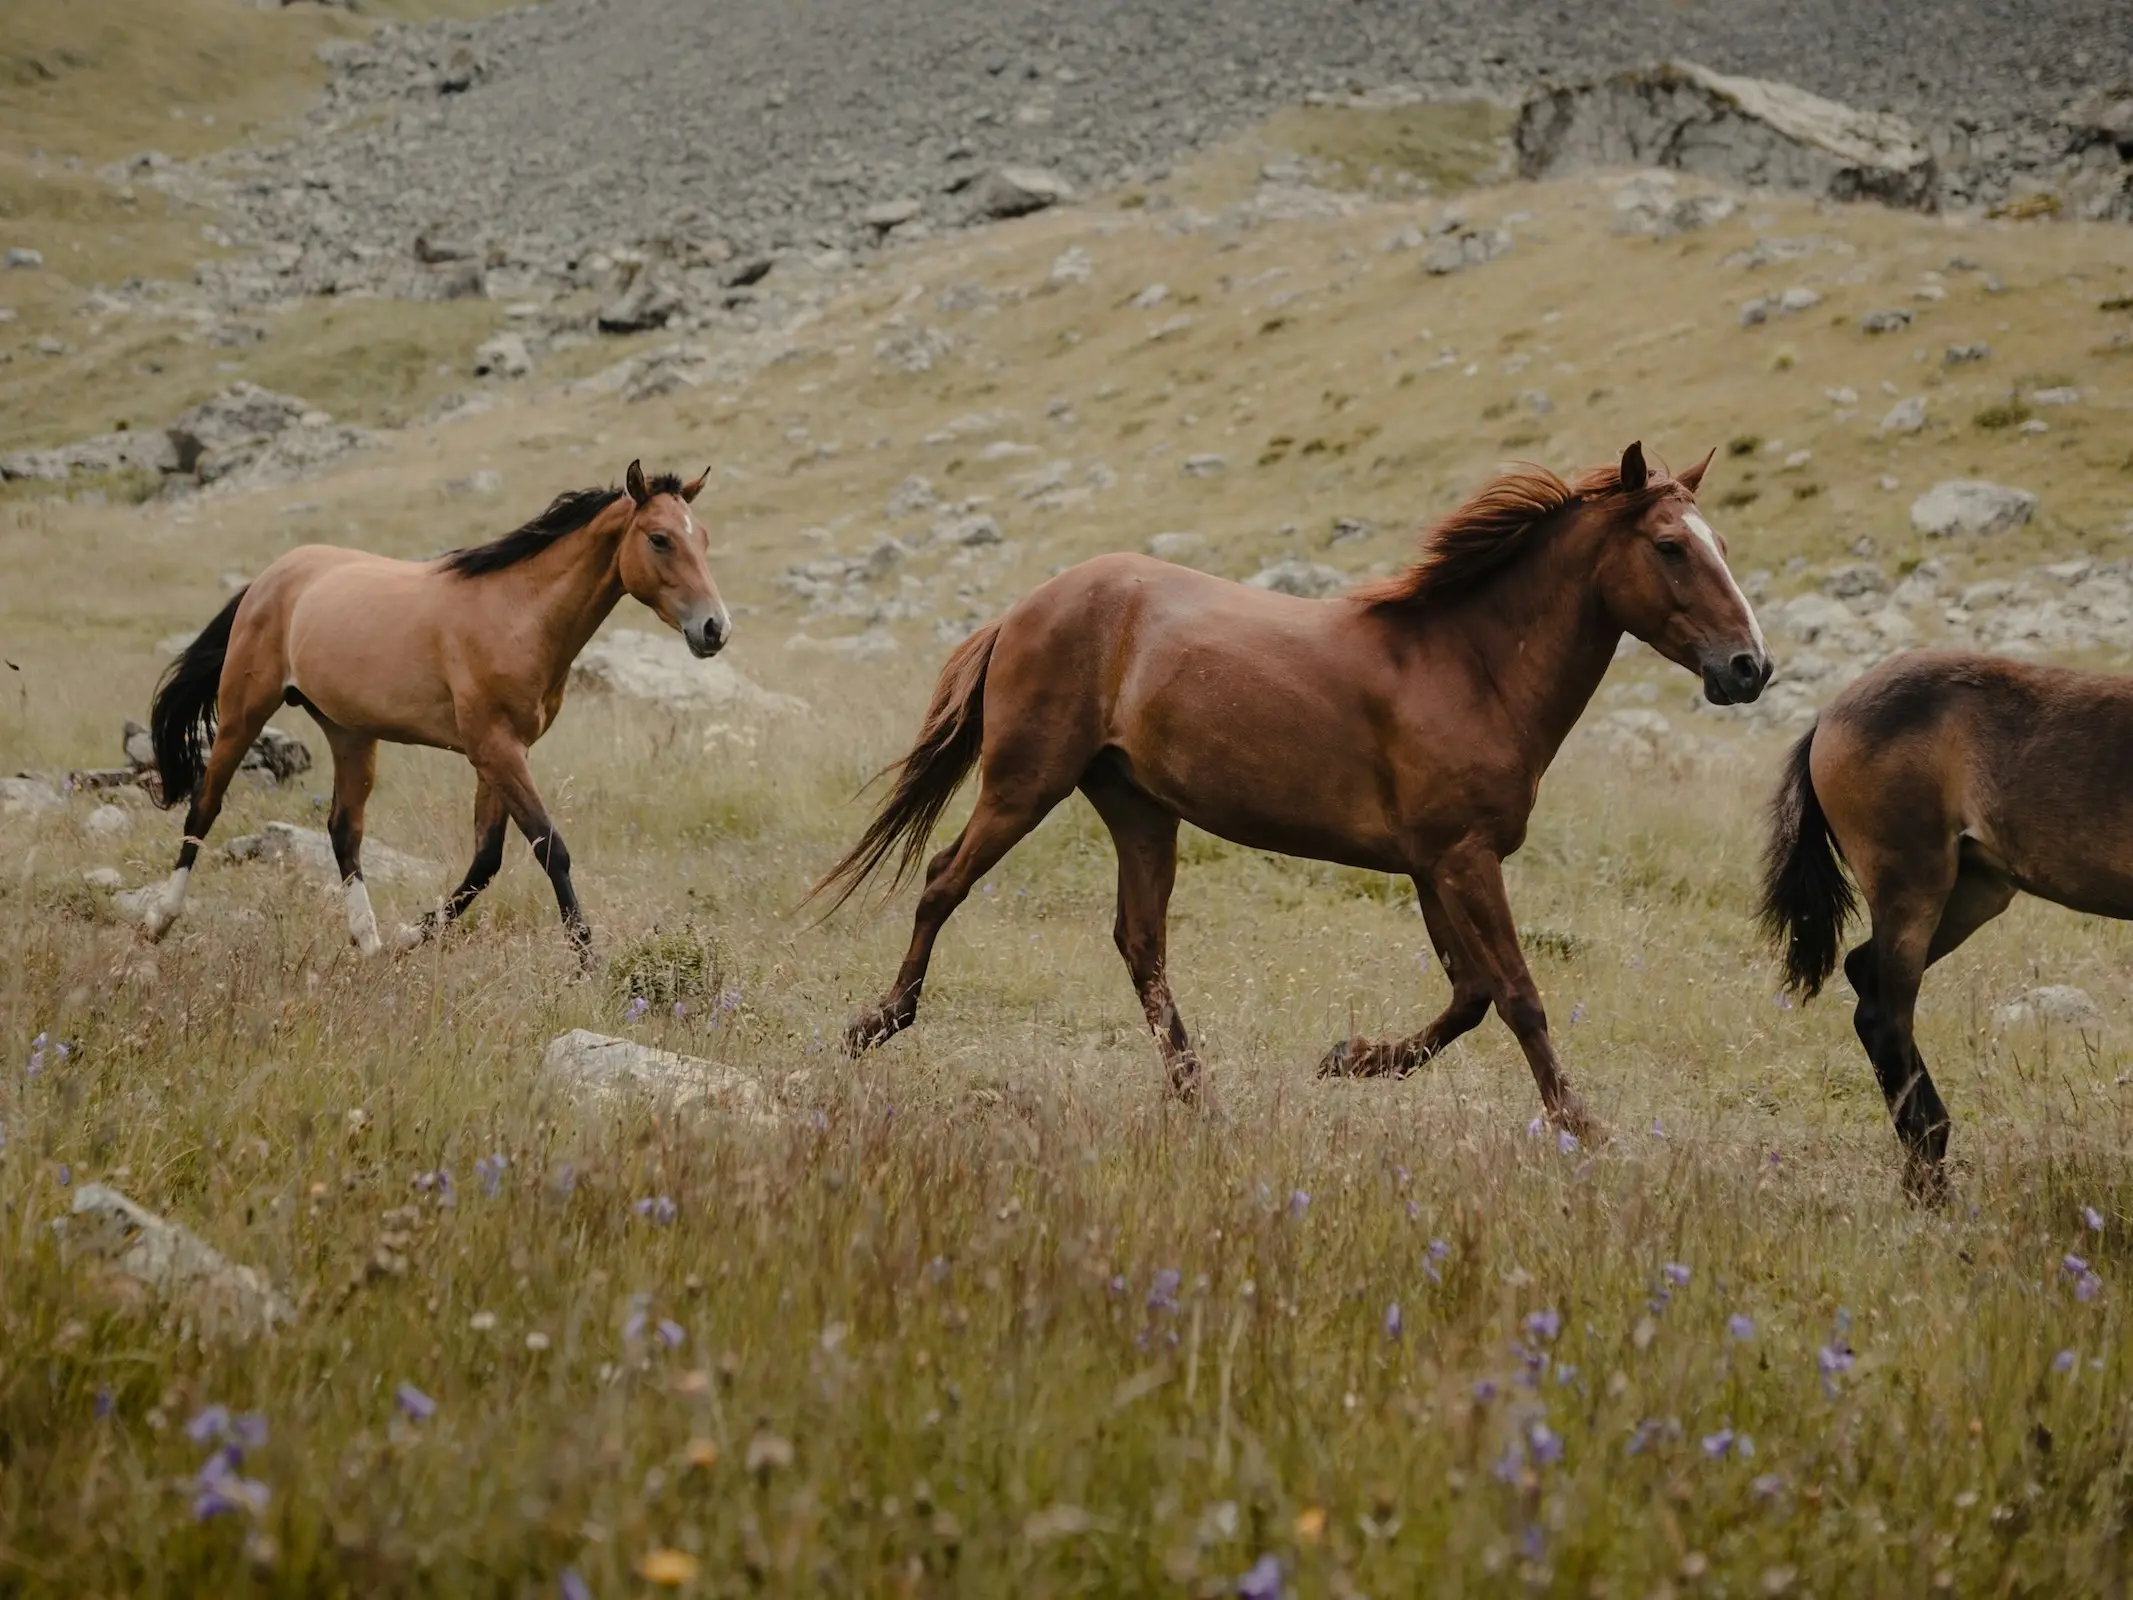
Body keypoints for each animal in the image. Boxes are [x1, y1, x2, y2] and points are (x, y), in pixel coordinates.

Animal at [141, 467, 729, 964]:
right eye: (659, 538)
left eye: (702, 539)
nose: (715, 629)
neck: (516, 613)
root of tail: (269, 577)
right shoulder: (495, 749)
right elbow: (549, 848)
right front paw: (588, 963)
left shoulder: (500, 754)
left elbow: (487, 861)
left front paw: (409, 935)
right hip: (245, 711)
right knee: (205, 805)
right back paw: (159, 921)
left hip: (350, 733)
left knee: (344, 829)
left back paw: (370, 943)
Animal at [806, 445, 1774, 1134]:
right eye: (1670, 548)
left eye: (1725, 547)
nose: (1749, 668)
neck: (1469, 668)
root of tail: (1026, 607)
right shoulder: (1461, 860)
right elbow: (1518, 996)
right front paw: (1581, 1126)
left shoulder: (1433, 866)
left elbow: (1469, 997)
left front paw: (1347, 1058)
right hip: (1024, 783)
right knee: (944, 882)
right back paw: (874, 1024)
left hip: (1138, 809)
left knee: (1140, 944)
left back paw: (1198, 1096)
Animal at [1757, 652, 2133, 1203]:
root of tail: (1829, 716)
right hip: (1914, 889)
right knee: (1883, 1016)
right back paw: (1928, 1181)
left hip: (1973, 893)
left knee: (1863, 974)